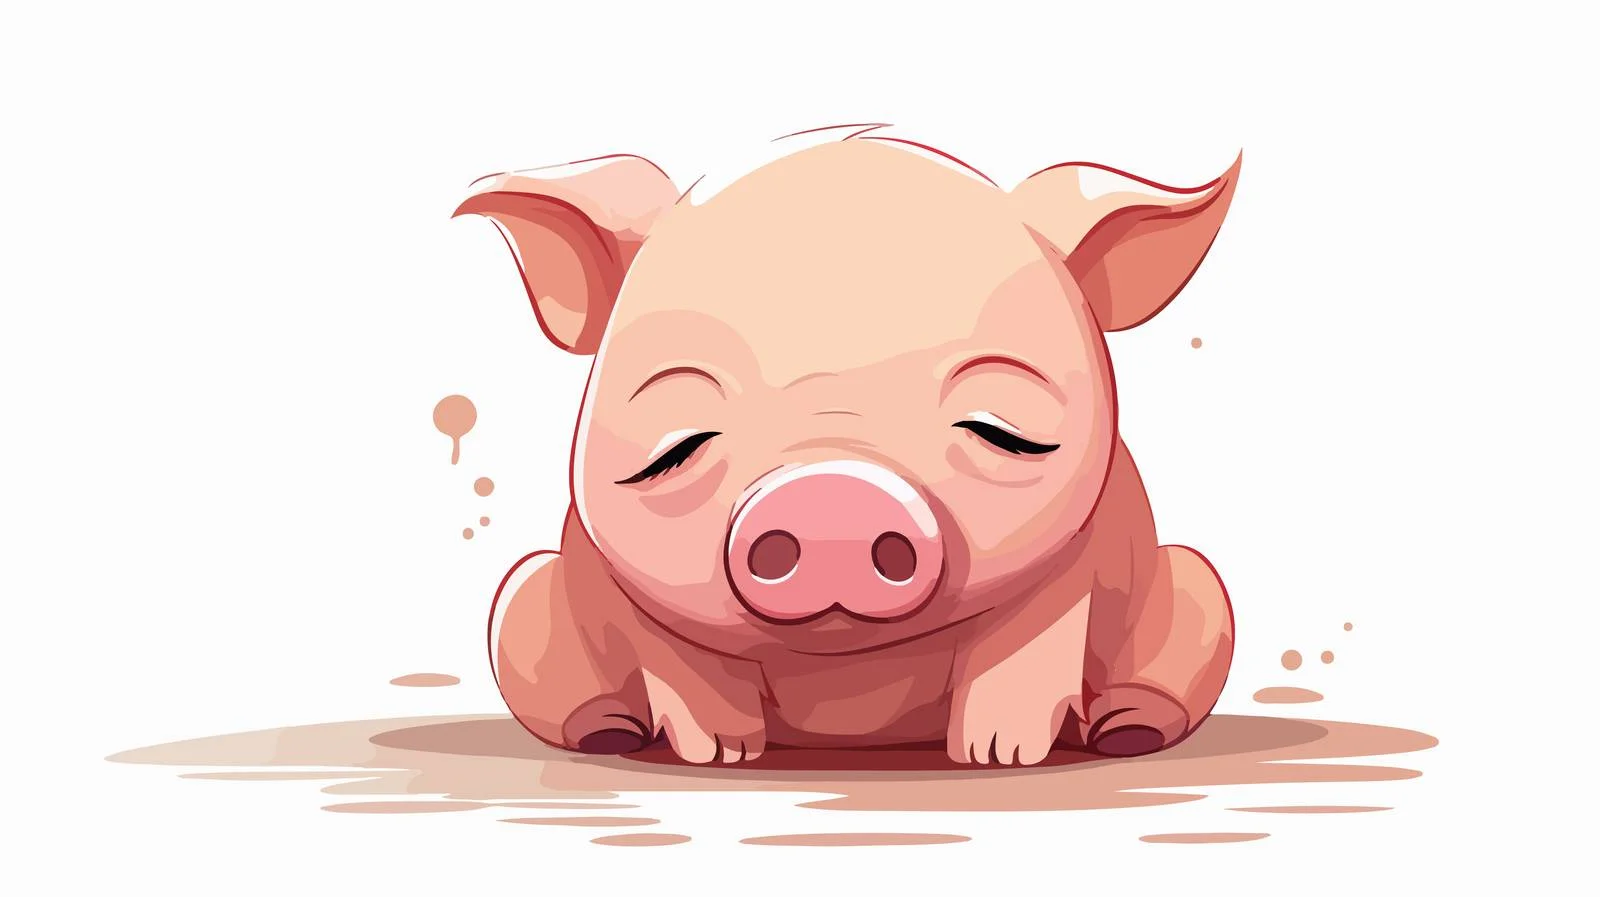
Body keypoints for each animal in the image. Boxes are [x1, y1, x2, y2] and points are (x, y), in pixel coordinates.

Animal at [457, 124, 1238, 766]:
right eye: (674, 447)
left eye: (1002, 431)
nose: (832, 495)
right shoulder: (634, 596)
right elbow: (689, 672)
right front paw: (720, 757)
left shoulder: (1078, 562)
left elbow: (1023, 649)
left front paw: (999, 758)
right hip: (525, 597)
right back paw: (608, 736)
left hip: (1194, 584)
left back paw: (1129, 734)